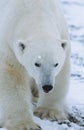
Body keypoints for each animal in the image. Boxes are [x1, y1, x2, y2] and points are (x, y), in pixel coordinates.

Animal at [0, 0, 70, 129]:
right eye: (37, 63)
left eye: (56, 64)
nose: (47, 86)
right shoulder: (7, 44)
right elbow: (12, 77)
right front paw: (25, 124)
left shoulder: (63, 35)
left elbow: (62, 73)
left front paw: (48, 113)